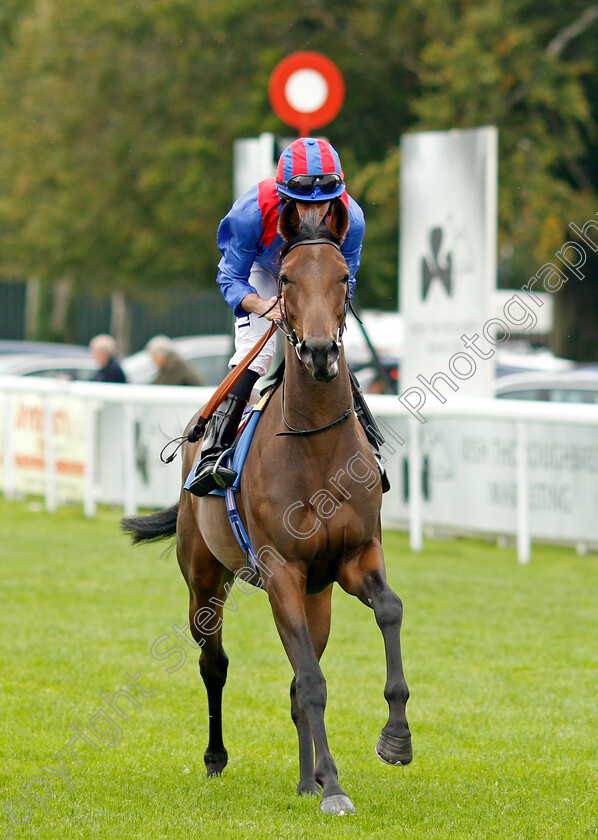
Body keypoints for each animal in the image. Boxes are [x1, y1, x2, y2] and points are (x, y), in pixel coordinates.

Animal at [122, 199, 412, 812]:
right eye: (286, 280)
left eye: (343, 278)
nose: (322, 351)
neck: (316, 446)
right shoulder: (281, 570)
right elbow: (312, 682)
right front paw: (335, 787)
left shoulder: (354, 558)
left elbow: (387, 612)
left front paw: (394, 740)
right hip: (205, 577)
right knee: (215, 664)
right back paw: (218, 758)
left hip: (315, 595)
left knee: (299, 674)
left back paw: (306, 779)